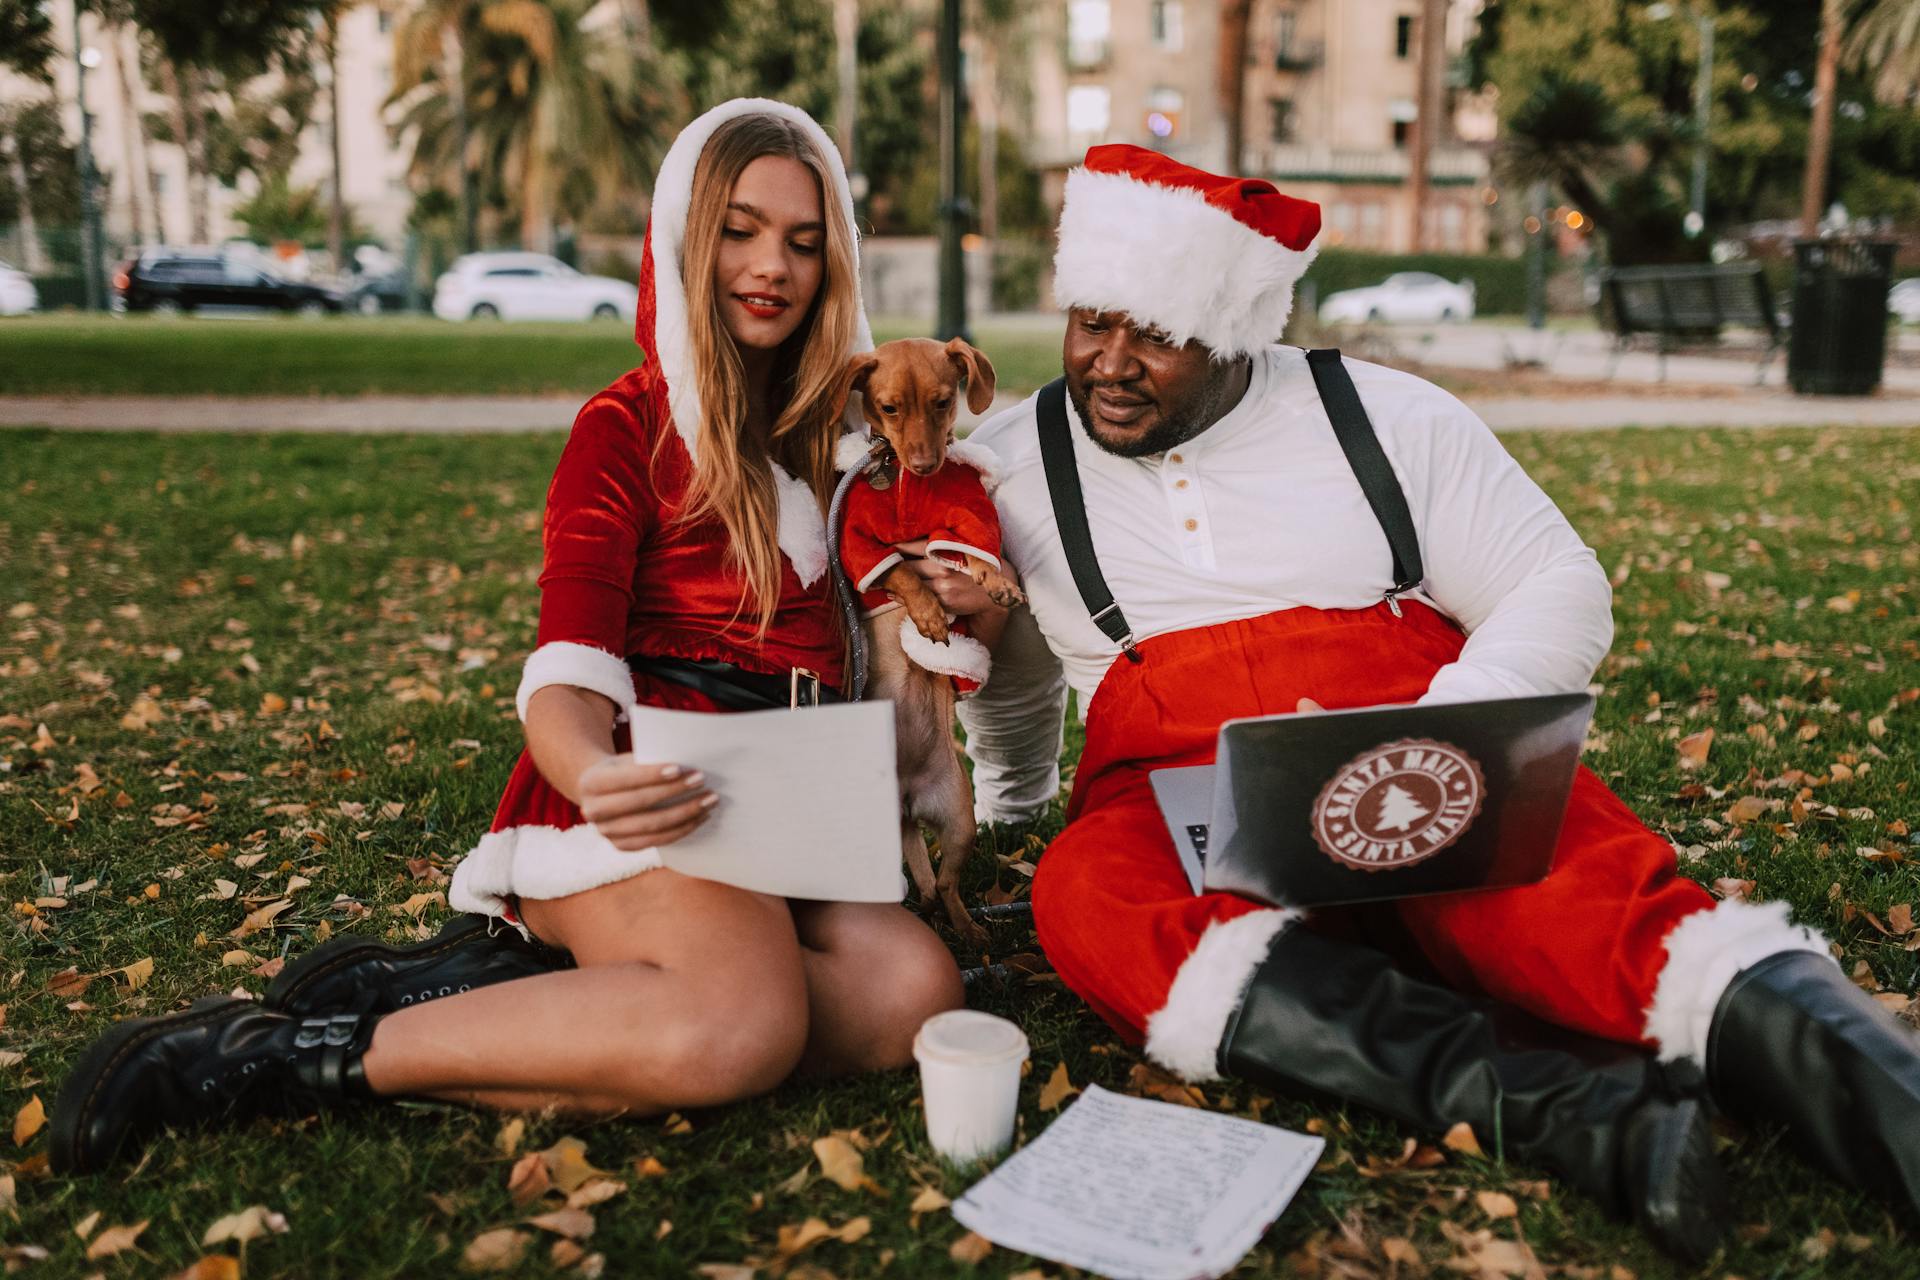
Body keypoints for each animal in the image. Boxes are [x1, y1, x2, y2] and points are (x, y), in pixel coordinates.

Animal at [837, 335, 1029, 948]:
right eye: (889, 408)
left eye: (944, 403)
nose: (925, 464)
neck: (903, 482)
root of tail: (905, 798)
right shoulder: (857, 544)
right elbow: (897, 570)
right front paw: (925, 612)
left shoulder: (966, 515)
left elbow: (973, 548)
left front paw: (996, 582)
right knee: (922, 882)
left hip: (961, 819)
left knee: (942, 884)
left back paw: (968, 929)